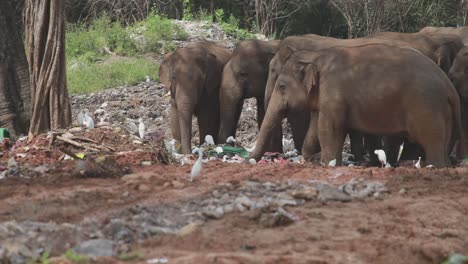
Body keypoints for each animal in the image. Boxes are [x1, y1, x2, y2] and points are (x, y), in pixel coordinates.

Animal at [250, 43, 462, 167]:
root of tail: (449, 86)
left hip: (426, 107)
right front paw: (309, 159)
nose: (250, 160)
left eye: (282, 86)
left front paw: (328, 163)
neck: (317, 56)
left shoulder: (334, 93)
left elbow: (329, 129)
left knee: (432, 143)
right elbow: (315, 129)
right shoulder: (325, 97)